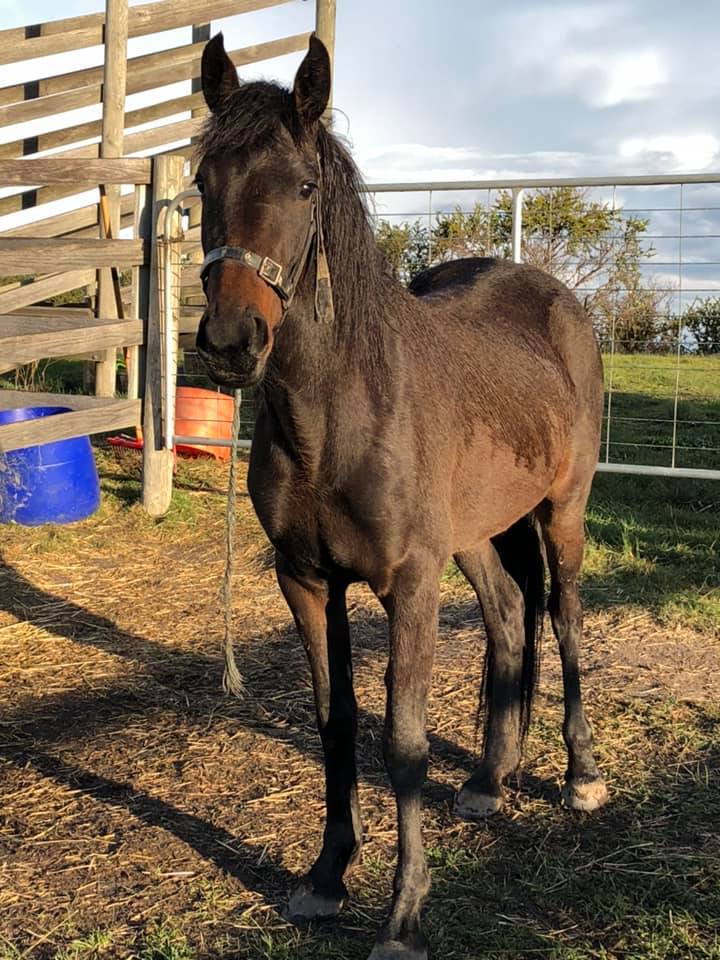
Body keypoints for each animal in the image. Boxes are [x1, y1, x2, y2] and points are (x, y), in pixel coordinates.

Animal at [195, 32, 608, 960]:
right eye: (203, 182)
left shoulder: (410, 585)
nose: (233, 343)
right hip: (477, 534)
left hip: (561, 513)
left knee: (563, 621)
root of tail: (556, 298)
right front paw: (324, 878)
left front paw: (404, 914)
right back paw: (491, 777)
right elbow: (335, 722)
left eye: (303, 188)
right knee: (507, 616)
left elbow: (405, 745)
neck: (338, 413)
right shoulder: (307, 582)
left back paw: (580, 774)